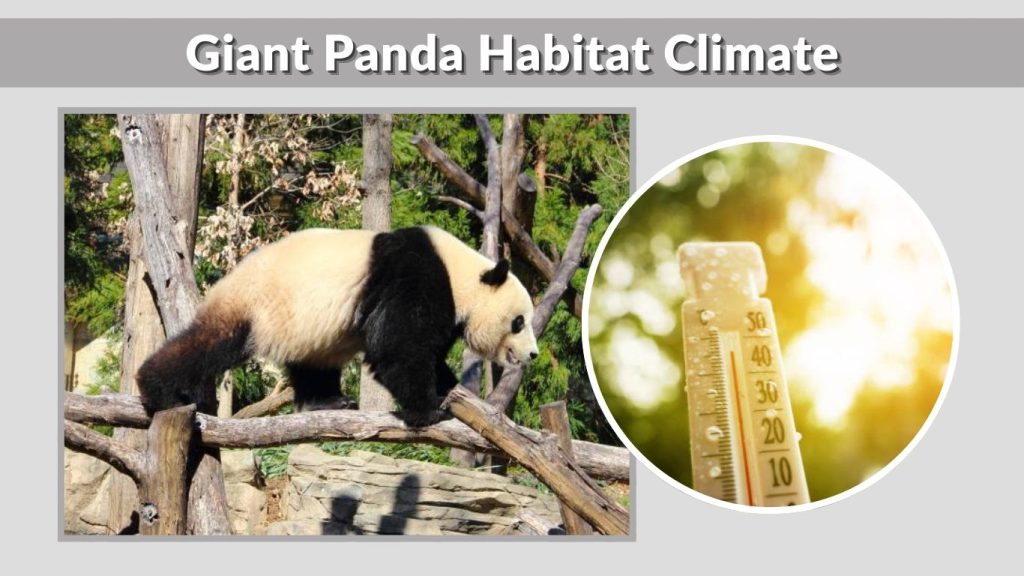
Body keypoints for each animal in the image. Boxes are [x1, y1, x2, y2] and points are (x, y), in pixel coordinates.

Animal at [135, 226, 539, 425]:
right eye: (519, 322)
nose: (533, 355)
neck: (461, 274)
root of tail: (229, 280)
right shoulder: (413, 275)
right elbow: (396, 348)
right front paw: (430, 411)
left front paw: (448, 391)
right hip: (256, 305)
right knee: (208, 344)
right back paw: (160, 390)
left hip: (303, 328)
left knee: (312, 364)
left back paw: (328, 401)